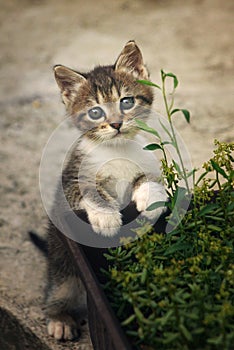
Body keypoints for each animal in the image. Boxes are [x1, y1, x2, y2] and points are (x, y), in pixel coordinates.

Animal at [45, 40, 166, 340]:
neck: (117, 150)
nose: (116, 124)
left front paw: (151, 195)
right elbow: (89, 190)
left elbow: (148, 177)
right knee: (58, 288)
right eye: (95, 112)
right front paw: (106, 217)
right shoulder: (70, 181)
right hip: (62, 260)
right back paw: (59, 318)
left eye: (127, 102)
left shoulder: (147, 160)